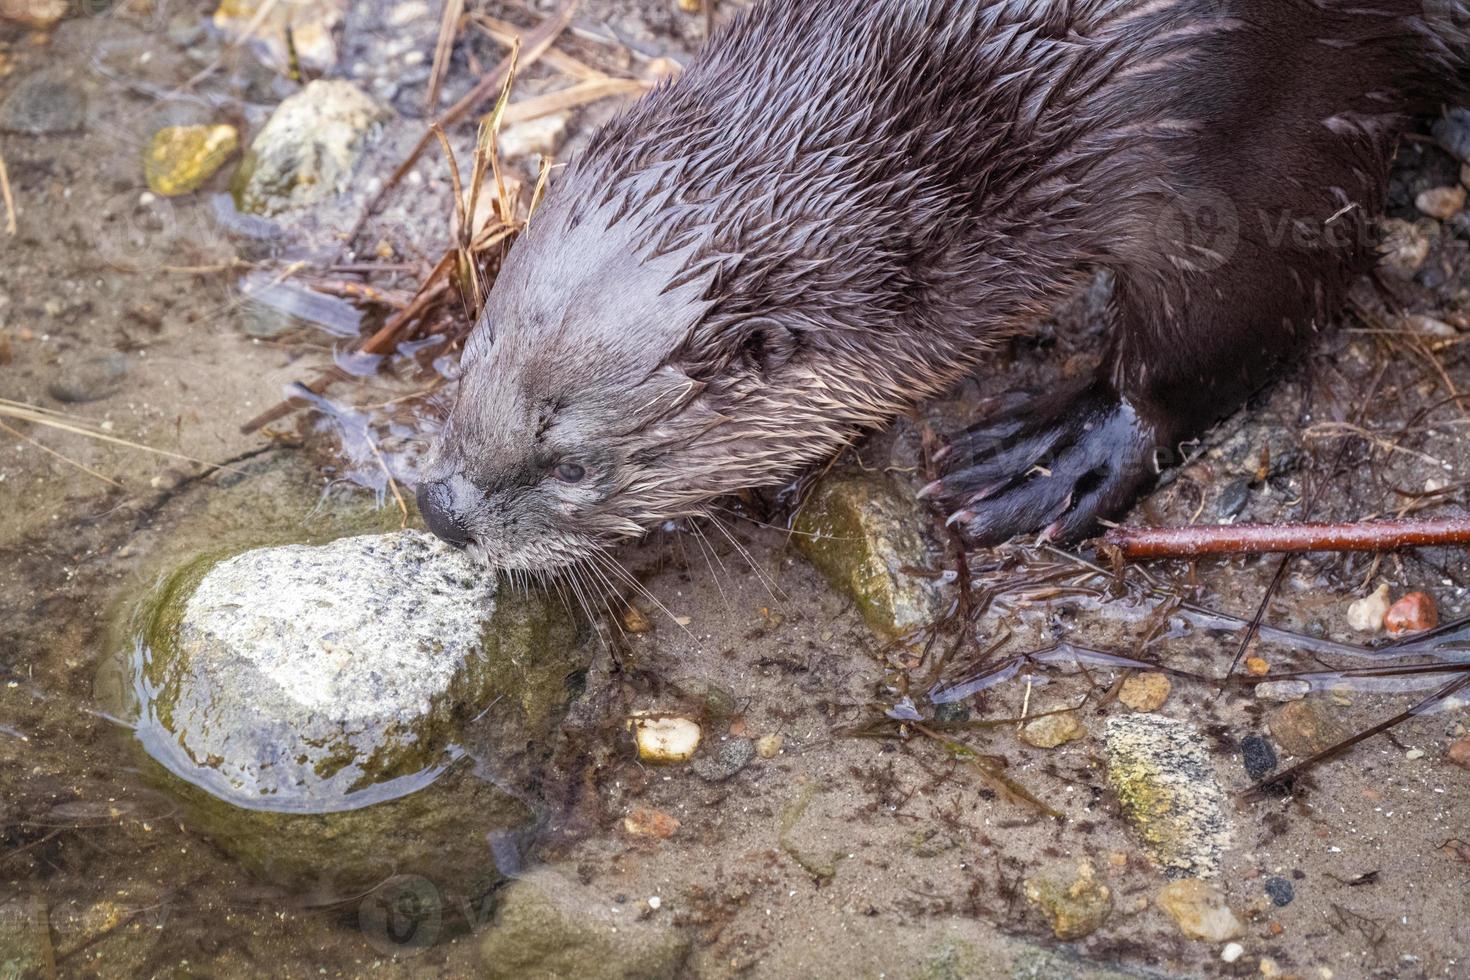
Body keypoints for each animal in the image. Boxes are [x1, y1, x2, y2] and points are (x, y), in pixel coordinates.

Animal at [414, 0, 1470, 570]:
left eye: (571, 464)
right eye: (467, 362)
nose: (444, 511)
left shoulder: (1247, 118)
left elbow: (1233, 314)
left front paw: (1055, 455)